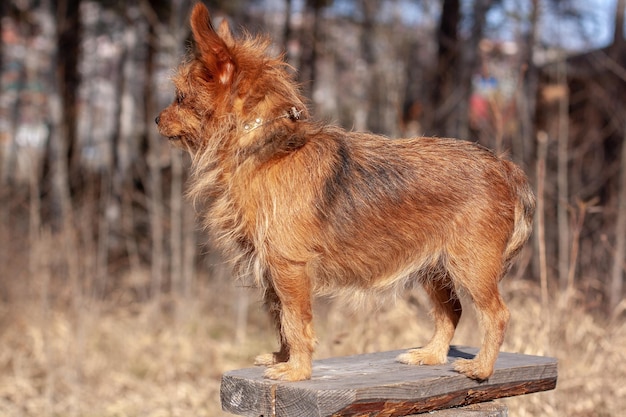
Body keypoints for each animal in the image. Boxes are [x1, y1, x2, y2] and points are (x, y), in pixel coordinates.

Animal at [155, 2, 532, 380]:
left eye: (180, 98)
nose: (157, 119)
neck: (269, 148)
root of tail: (503, 165)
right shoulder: (275, 269)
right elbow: (280, 317)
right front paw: (282, 357)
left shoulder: (288, 266)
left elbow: (294, 320)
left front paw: (296, 370)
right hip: (435, 269)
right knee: (451, 311)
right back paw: (431, 355)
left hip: (471, 266)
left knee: (497, 314)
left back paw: (481, 367)